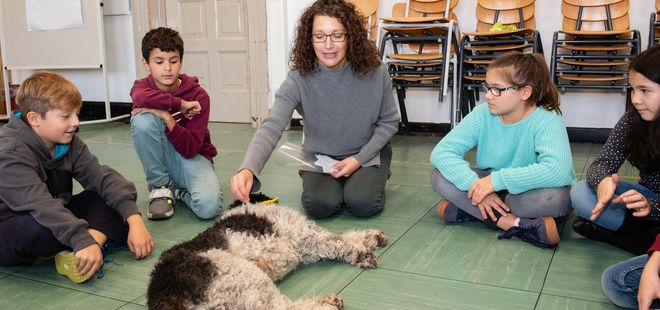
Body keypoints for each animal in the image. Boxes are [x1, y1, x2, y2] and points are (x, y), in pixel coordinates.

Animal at [147, 194, 390, 310]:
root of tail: (164, 295)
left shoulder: (304, 249)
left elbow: (345, 236)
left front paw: (371, 237)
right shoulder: (305, 238)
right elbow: (337, 241)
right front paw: (362, 253)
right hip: (242, 274)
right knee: (284, 308)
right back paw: (326, 304)